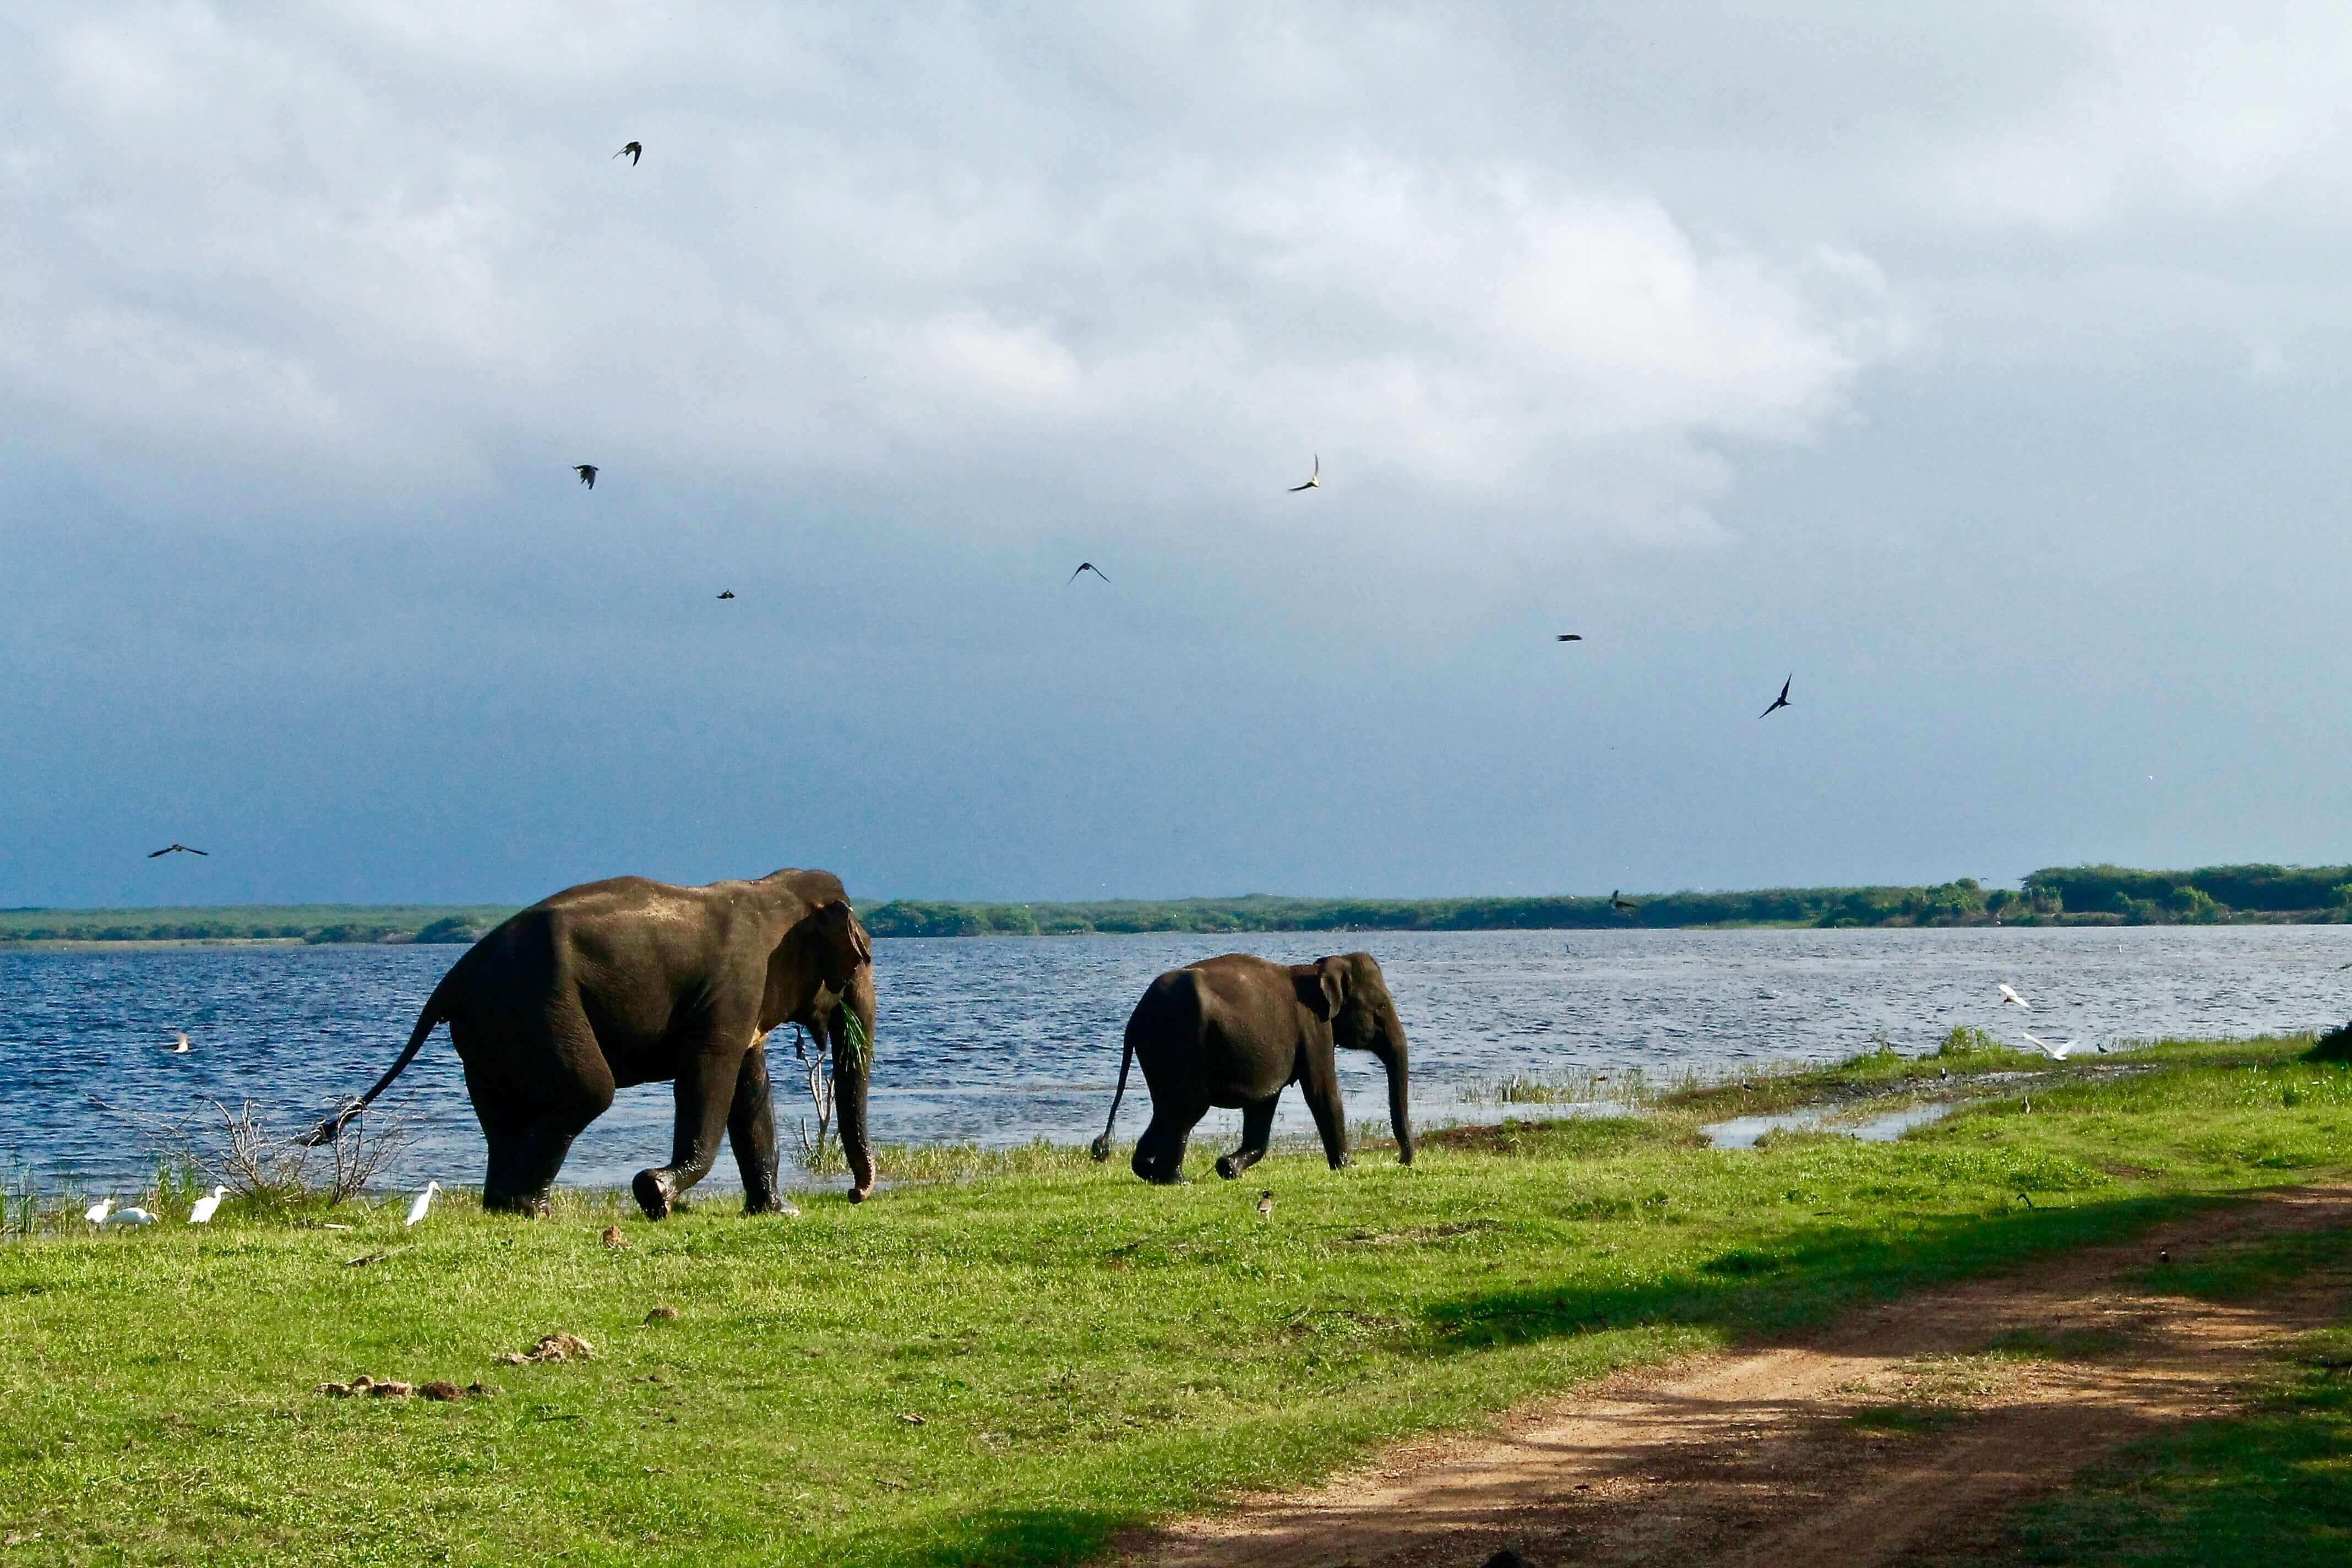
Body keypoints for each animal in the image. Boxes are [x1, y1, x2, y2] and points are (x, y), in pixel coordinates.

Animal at [302, 867, 876, 1218]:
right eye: (863, 958)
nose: (855, 1194)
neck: (770, 889)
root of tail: (451, 981)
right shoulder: (733, 992)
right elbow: (709, 1078)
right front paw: (655, 1194)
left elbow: (750, 1092)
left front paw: (779, 1212)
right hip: (536, 1009)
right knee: (588, 1092)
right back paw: (531, 1208)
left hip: (489, 1036)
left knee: (503, 1118)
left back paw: (507, 1206)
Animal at [1089, 951, 1414, 1184]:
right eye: (1381, 1007)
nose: (1401, 1161)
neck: (1320, 968)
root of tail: (1135, 1018)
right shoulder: (1314, 1029)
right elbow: (1322, 1093)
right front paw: (1347, 1167)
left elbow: (1264, 1103)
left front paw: (1228, 1167)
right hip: (1180, 1043)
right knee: (1188, 1107)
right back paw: (1176, 1180)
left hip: (1158, 1053)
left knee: (1166, 1108)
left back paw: (1147, 1171)